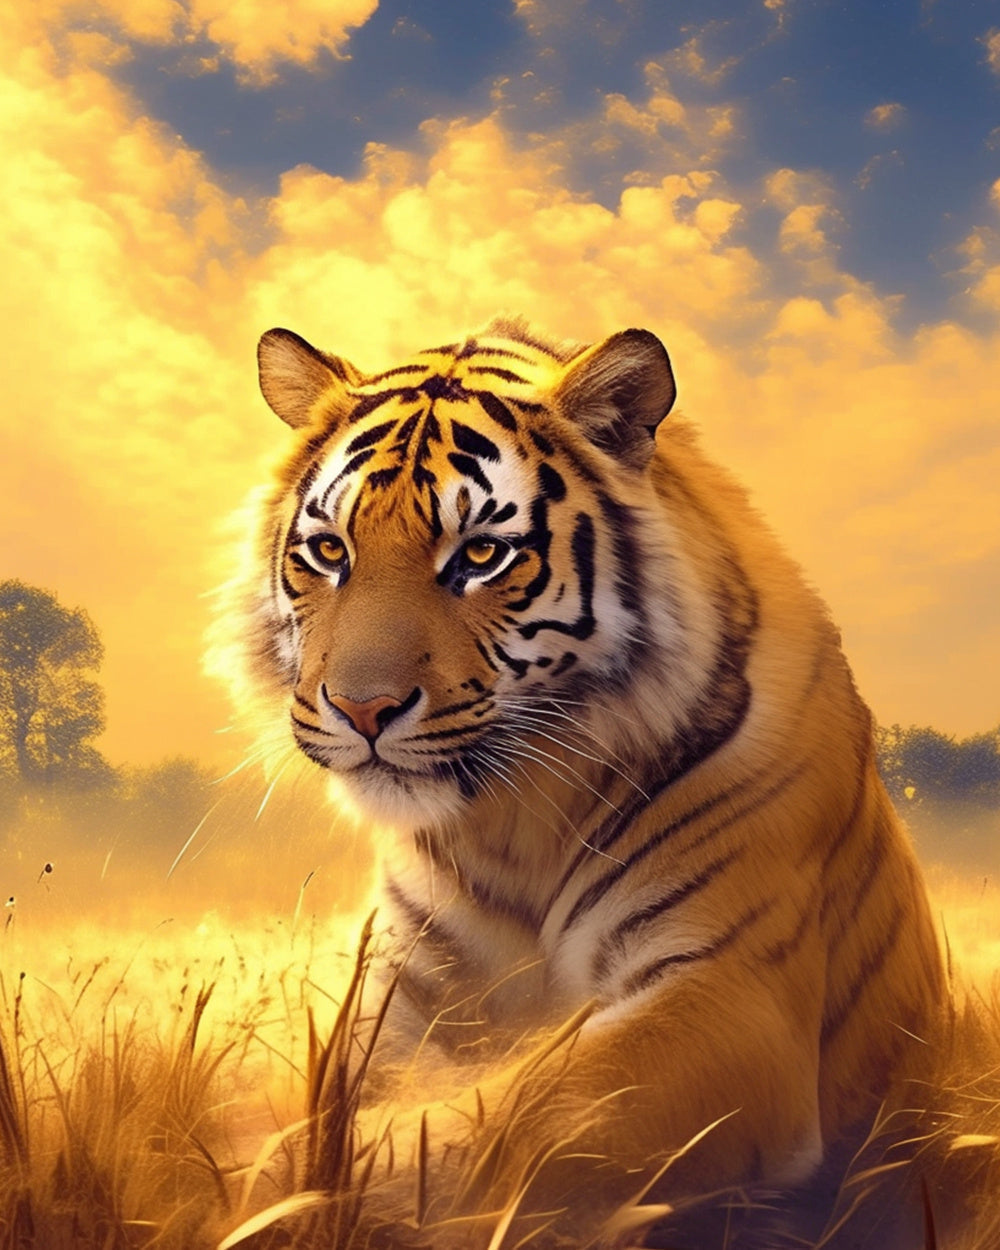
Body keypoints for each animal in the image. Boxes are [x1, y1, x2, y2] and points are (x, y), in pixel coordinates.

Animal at [234, 316, 945, 1244]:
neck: (512, 817)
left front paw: (324, 1193)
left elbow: (525, 1112)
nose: (362, 708)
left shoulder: (729, 991)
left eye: (480, 555)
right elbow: (347, 1102)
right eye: (329, 551)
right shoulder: (399, 993)